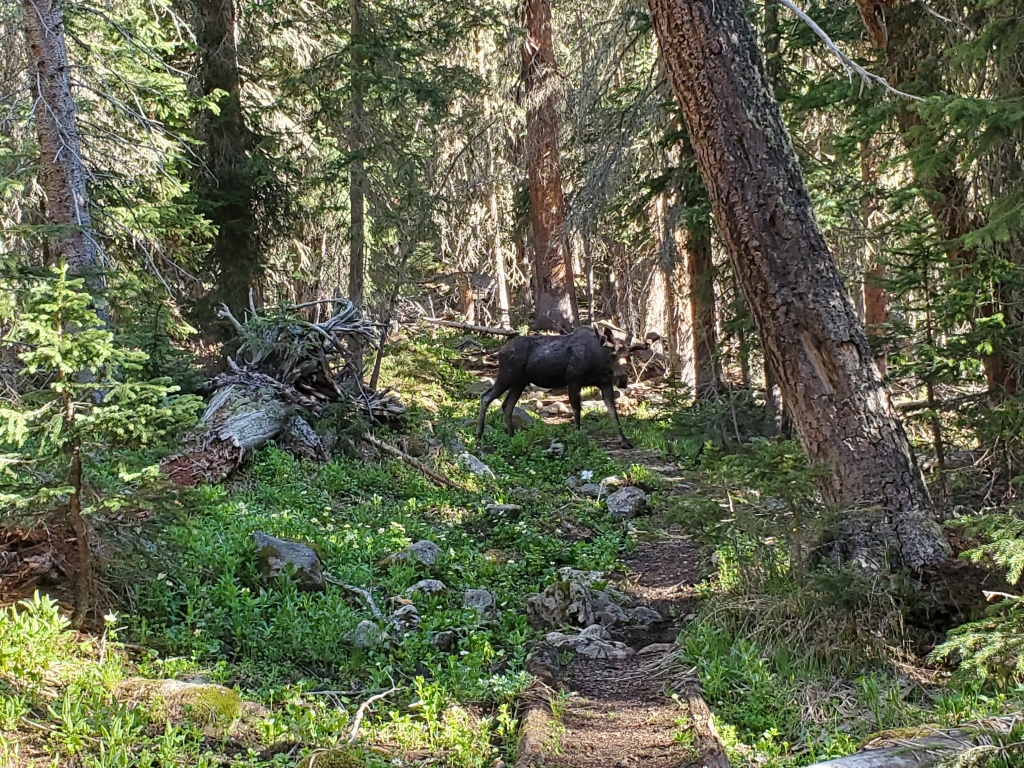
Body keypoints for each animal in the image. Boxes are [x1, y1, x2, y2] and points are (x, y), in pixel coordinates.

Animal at [473, 325, 647, 450]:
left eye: (628, 356)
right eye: (612, 355)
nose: (622, 380)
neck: (599, 363)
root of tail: (500, 352)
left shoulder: (605, 383)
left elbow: (613, 412)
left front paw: (624, 441)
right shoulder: (574, 380)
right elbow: (576, 410)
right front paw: (579, 436)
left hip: (519, 383)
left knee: (507, 405)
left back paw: (511, 435)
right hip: (506, 377)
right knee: (486, 396)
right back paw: (479, 435)